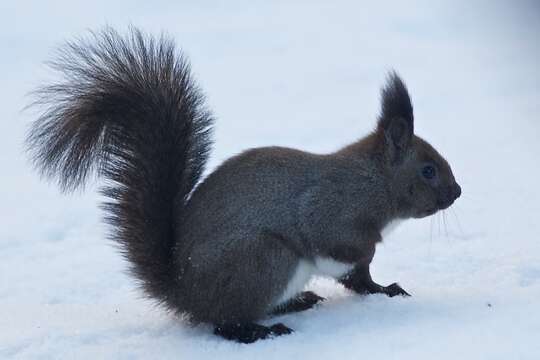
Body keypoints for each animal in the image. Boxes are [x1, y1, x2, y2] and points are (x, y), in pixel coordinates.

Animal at [27, 27, 462, 344]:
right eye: (428, 170)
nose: (458, 192)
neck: (374, 181)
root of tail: (184, 292)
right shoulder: (332, 209)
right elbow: (346, 252)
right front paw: (381, 279)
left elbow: (360, 279)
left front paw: (383, 290)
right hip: (265, 259)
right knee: (226, 322)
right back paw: (262, 332)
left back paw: (296, 303)